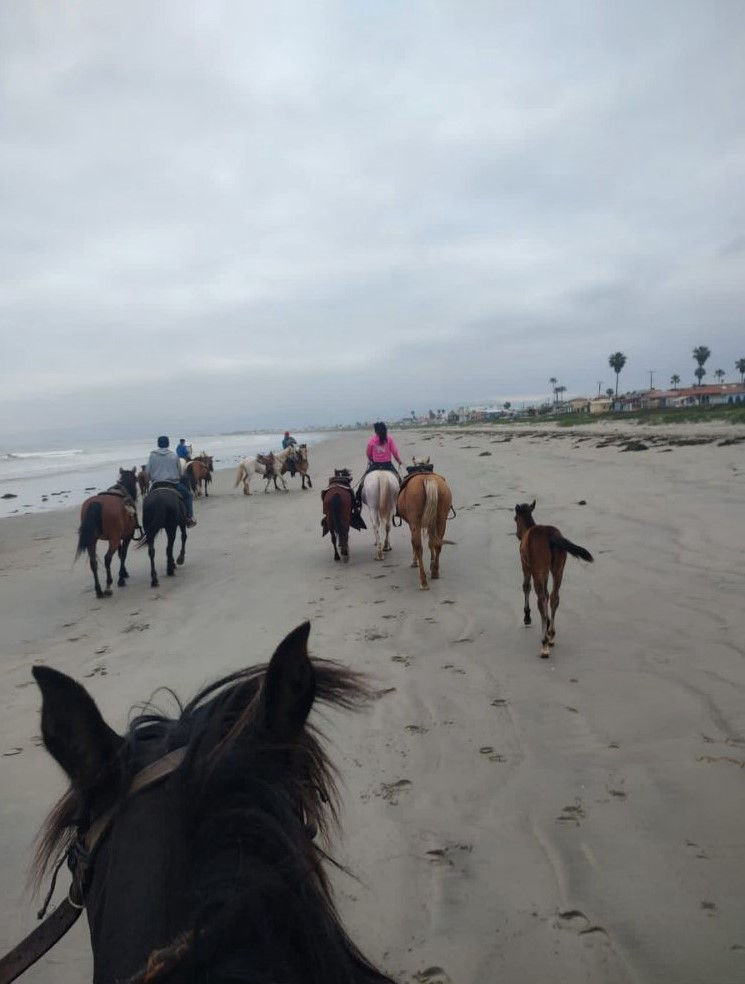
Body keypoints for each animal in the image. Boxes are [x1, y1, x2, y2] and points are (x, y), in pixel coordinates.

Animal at [76, 468, 139, 599]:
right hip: (113, 540)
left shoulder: (119, 537)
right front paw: (121, 578)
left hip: (92, 541)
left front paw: (124, 573)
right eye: (136, 479)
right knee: (107, 558)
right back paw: (108, 586)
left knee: (93, 562)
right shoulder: (126, 537)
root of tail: (96, 503)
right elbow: (123, 554)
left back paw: (98, 590)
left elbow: (120, 554)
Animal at [396, 458, 453, 589]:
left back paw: (423, 580)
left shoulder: (412, 524)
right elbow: (431, 542)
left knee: (418, 546)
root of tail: (427, 478)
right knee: (438, 543)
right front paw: (432, 564)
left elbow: (414, 543)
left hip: (415, 523)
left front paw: (414, 562)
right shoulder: (432, 524)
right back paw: (435, 571)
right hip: (441, 519)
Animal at [514, 500, 594, 658]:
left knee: (542, 598)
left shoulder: (526, 565)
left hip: (540, 568)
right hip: (558, 567)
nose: (517, 534)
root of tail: (551, 536)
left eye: (515, 519)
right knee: (554, 596)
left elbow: (526, 587)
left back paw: (544, 642)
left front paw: (527, 616)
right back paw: (551, 635)